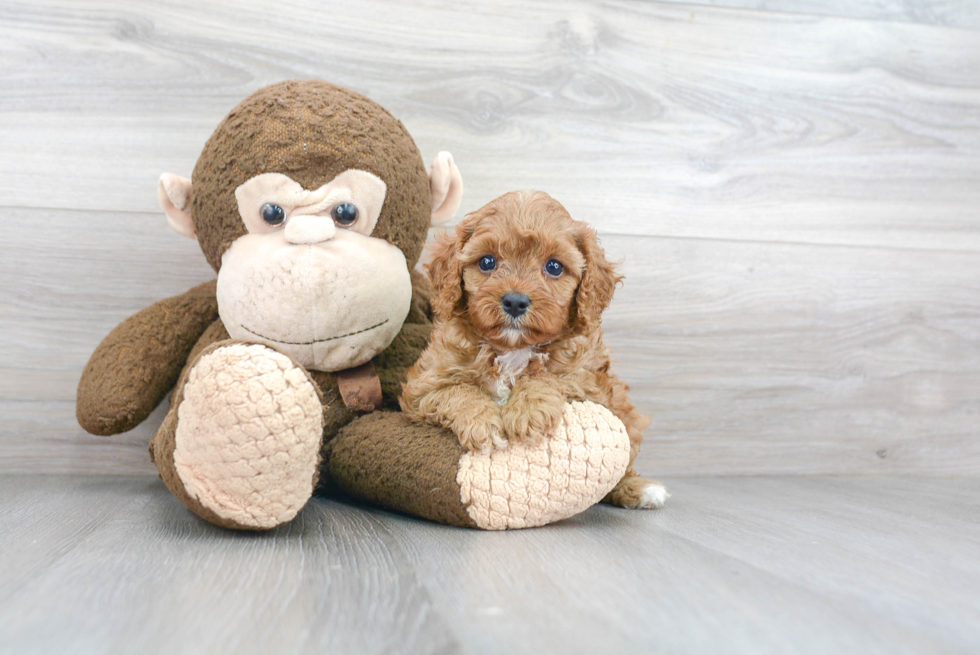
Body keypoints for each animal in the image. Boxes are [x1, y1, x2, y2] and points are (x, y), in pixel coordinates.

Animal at [398, 190, 668, 508]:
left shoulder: (591, 381)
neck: (513, 349)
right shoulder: (423, 386)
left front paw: (528, 410)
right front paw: (483, 422)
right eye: (487, 262)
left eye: (554, 266)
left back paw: (640, 489)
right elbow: (457, 391)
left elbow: (546, 376)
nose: (515, 301)